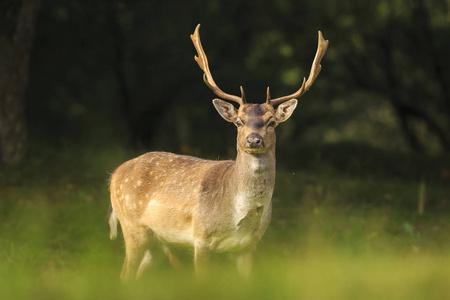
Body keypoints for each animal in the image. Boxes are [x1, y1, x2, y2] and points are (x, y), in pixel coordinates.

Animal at [107, 24, 328, 282]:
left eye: (272, 122)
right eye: (239, 122)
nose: (254, 140)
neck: (238, 218)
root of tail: (114, 175)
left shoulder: (248, 247)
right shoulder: (200, 238)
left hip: (158, 243)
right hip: (132, 226)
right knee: (125, 275)